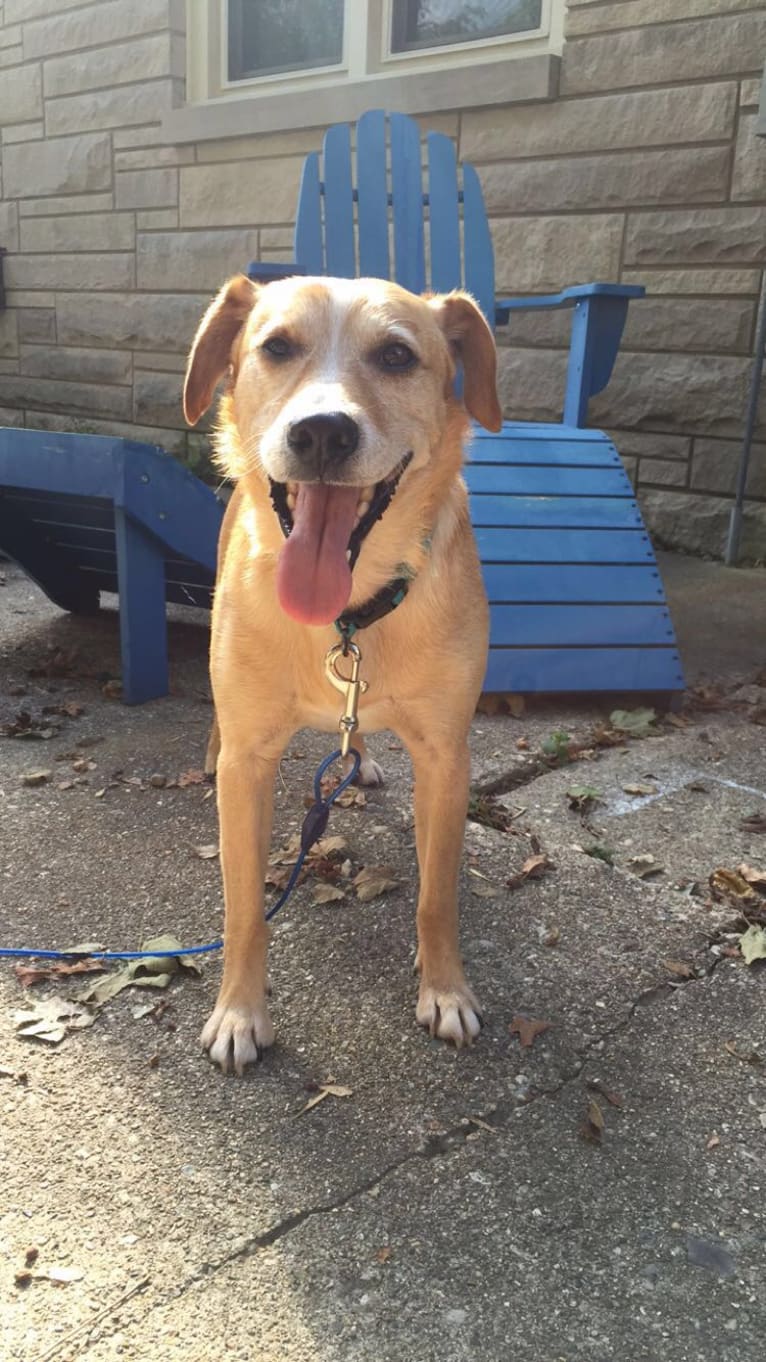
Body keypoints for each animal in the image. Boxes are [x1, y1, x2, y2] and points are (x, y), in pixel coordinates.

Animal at [181, 271, 498, 1067]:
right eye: (276, 346)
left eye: (396, 355)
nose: (322, 431)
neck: (347, 614)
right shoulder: (252, 762)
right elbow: (243, 908)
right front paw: (239, 1011)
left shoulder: (447, 756)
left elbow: (437, 895)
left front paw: (444, 987)